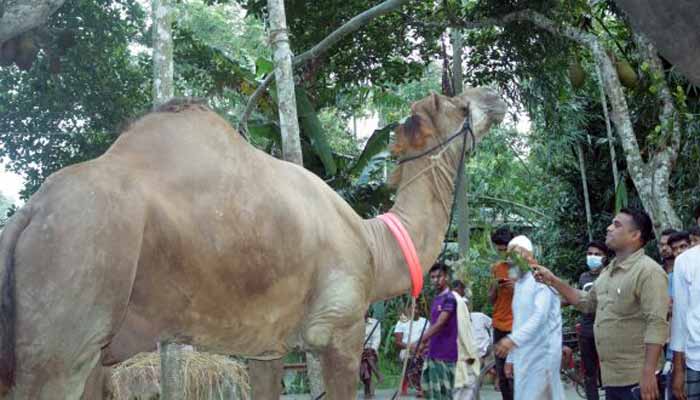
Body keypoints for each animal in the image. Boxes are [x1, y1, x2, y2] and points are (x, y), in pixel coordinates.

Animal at [0, 89, 504, 398]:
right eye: (460, 107)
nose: (494, 98)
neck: (373, 245)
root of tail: (27, 214)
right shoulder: (339, 329)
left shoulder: (267, 346)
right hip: (69, 301)